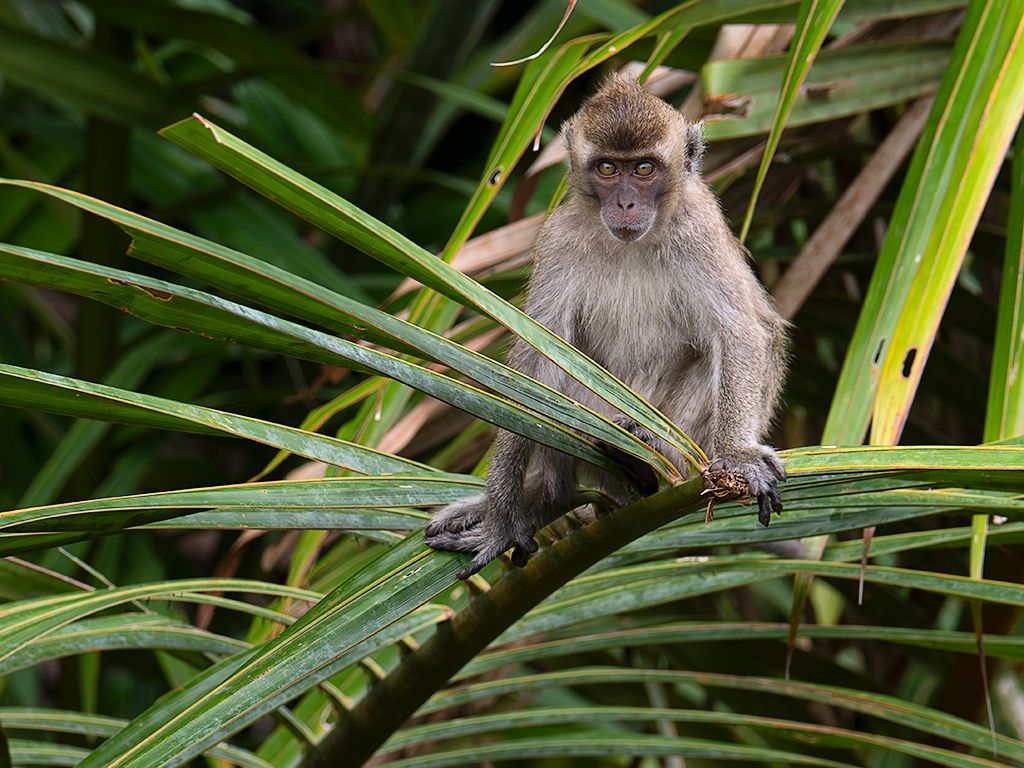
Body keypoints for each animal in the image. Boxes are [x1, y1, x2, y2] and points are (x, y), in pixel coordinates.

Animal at [426, 74, 788, 580]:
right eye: (607, 169)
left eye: (644, 168)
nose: (626, 202)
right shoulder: (560, 236)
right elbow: (536, 361)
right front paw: (502, 518)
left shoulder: (698, 228)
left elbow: (740, 333)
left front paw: (737, 457)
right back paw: (547, 495)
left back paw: (652, 457)